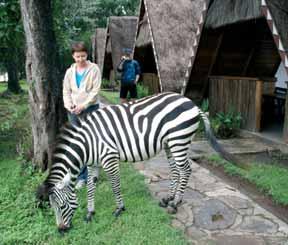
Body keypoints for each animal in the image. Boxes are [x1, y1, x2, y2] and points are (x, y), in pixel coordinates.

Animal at [36, 92, 235, 232]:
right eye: (52, 207)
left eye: (61, 206)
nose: (61, 230)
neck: (88, 143)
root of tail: (191, 103)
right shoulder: (93, 164)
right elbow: (91, 187)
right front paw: (90, 213)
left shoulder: (110, 158)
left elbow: (115, 185)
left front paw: (119, 209)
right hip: (170, 143)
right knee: (175, 170)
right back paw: (168, 198)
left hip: (179, 140)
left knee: (185, 170)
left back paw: (175, 204)